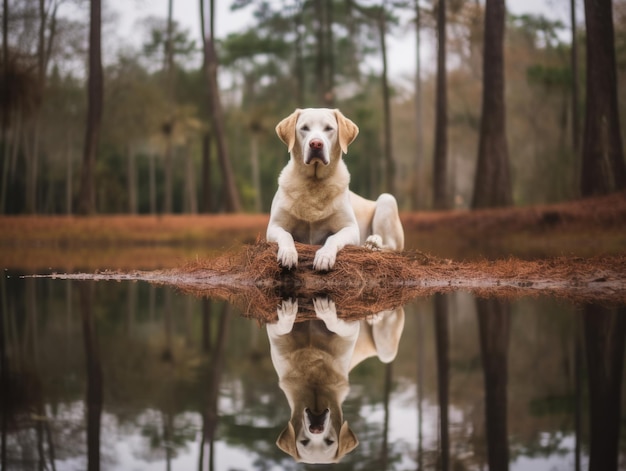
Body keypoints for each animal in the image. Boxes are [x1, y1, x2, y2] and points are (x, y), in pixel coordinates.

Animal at [264, 107, 402, 270]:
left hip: (387, 199)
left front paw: (324, 256)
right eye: (304, 128)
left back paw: (373, 243)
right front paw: (288, 254)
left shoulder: (350, 228)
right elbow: (286, 235)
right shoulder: (274, 226)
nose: (316, 144)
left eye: (329, 128)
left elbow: (333, 238)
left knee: (391, 246)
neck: (314, 184)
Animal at [264, 296, 404, 462]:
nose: (316, 429)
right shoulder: (276, 340)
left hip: (386, 353)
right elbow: (282, 328)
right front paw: (287, 313)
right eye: (304, 442)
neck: (314, 377)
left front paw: (326, 311)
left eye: (329, 441)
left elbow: (339, 325)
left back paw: (379, 314)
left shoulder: (349, 332)